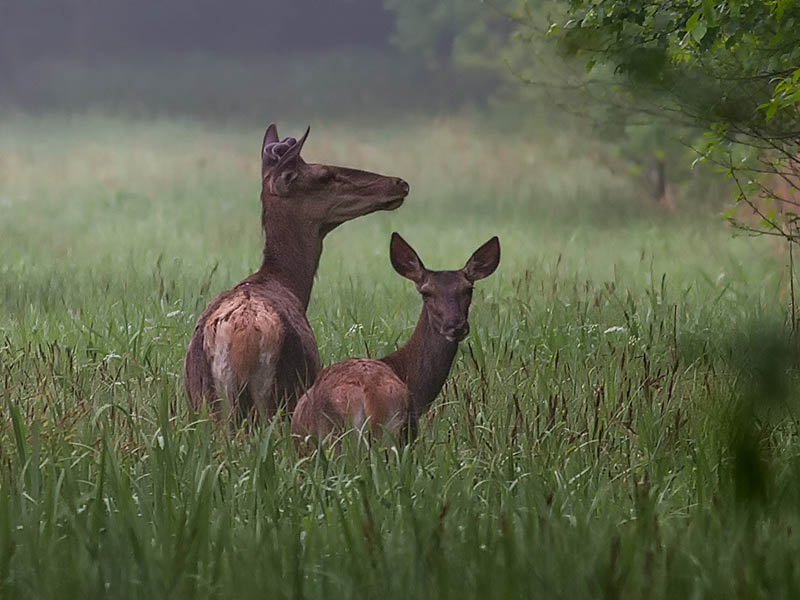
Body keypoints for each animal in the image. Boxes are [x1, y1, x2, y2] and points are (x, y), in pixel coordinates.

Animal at [184, 123, 410, 422]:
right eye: (325, 175)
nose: (399, 183)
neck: (286, 282)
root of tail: (243, 332)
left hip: (204, 399)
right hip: (283, 394)